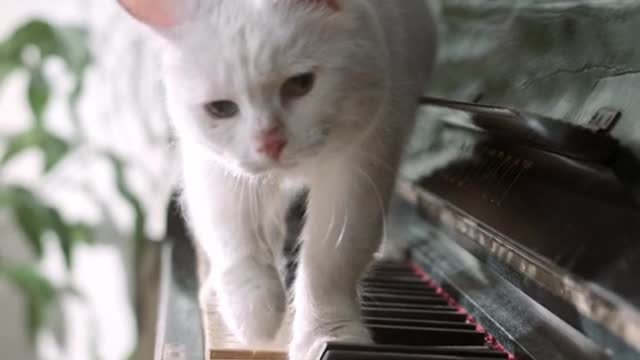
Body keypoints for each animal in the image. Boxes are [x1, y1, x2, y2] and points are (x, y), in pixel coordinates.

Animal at [117, 0, 438, 358]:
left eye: (300, 84)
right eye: (221, 109)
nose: (270, 143)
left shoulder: (360, 166)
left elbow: (331, 263)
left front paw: (329, 335)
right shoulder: (216, 169)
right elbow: (237, 241)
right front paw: (255, 317)